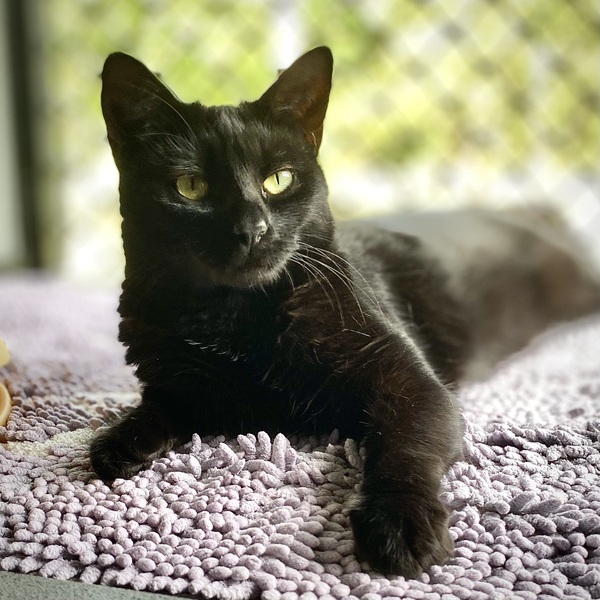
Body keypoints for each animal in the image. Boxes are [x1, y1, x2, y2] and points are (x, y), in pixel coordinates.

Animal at [90, 46, 600, 577]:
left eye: (279, 180)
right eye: (190, 186)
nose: (252, 229)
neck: (235, 317)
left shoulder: (409, 379)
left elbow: (406, 442)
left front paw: (398, 522)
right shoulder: (177, 377)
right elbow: (159, 404)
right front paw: (120, 440)